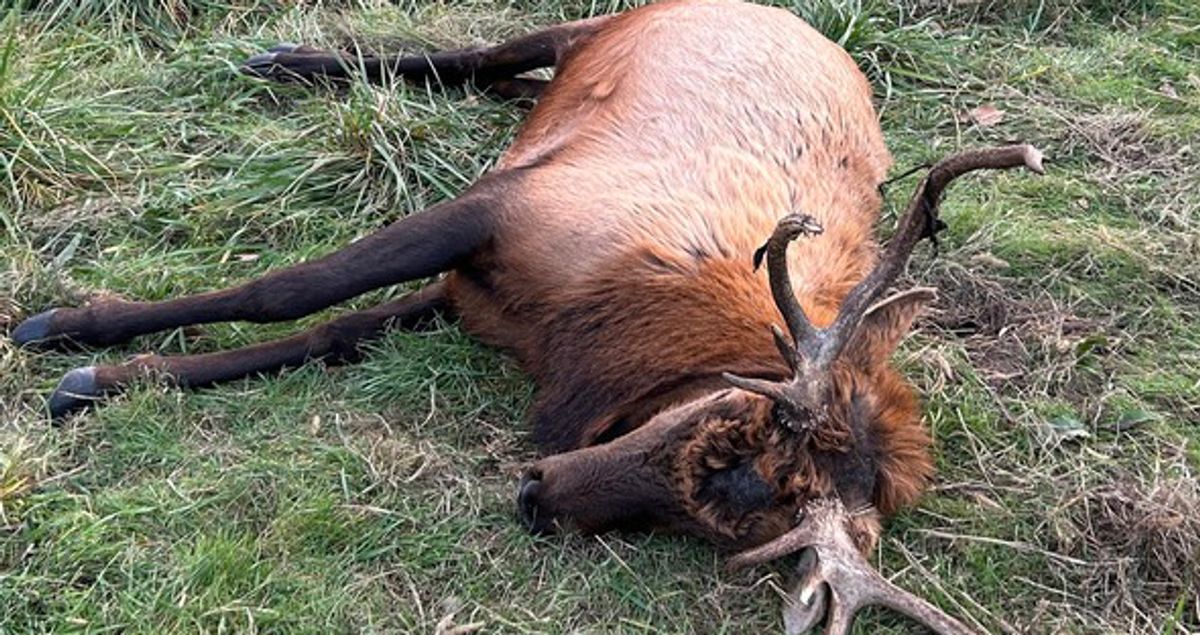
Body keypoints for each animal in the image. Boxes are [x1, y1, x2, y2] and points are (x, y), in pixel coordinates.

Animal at [10, 1, 1044, 632]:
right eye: (717, 422)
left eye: (721, 533)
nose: (536, 495)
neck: (589, 340)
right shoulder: (497, 212)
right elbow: (293, 289)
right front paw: (66, 329)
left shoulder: (476, 298)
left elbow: (324, 333)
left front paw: (109, 377)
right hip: (596, 24)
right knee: (487, 52)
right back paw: (295, 56)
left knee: (503, 79)